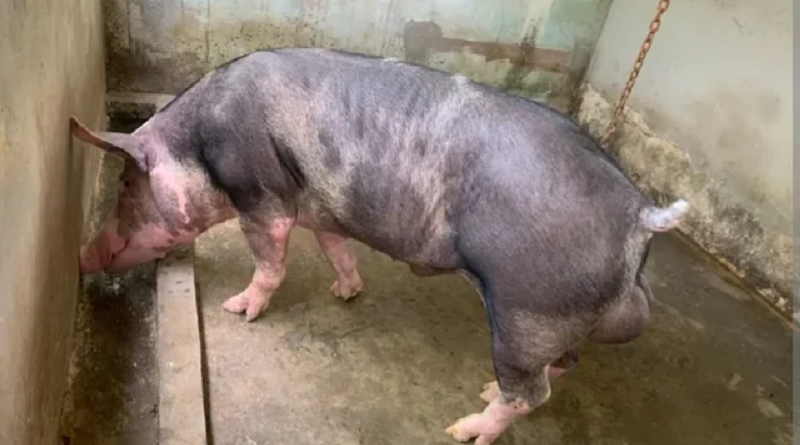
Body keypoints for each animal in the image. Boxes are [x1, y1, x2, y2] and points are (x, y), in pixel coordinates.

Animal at [71, 47, 689, 444]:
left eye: (125, 185)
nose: (83, 256)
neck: (200, 145)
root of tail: (639, 214)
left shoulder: (262, 196)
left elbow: (269, 261)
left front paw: (238, 310)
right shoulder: (320, 205)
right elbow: (334, 246)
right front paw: (346, 293)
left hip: (528, 307)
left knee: (532, 394)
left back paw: (463, 429)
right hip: (560, 316)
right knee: (560, 365)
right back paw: (485, 389)